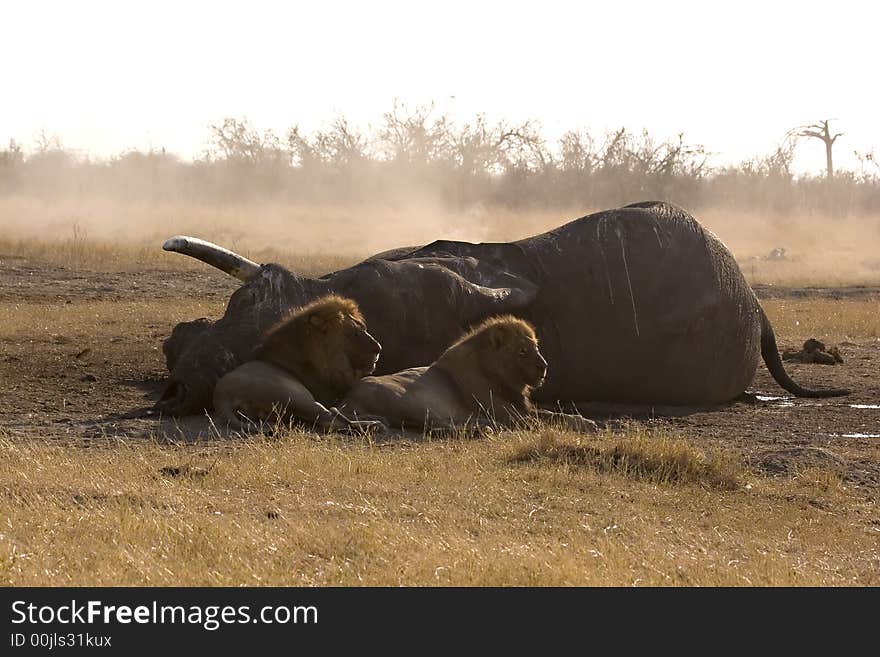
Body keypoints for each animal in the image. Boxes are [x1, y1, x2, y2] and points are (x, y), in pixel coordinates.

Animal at [215, 294, 384, 434]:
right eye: (354, 333)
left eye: (364, 329)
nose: (378, 348)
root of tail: (223, 395)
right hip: (295, 394)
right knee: (328, 419)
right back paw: (374, 424)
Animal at [336, 316, 600, 434]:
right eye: (522, 351)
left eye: (536, 347)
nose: (544, 366)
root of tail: (348, 398)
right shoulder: (509, 413)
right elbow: (549, 419)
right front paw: (584, 423)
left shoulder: (519, 407)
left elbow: (555, 414)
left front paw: (585, 420)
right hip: (411, 399)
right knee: (437, 426)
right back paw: (483, 428)